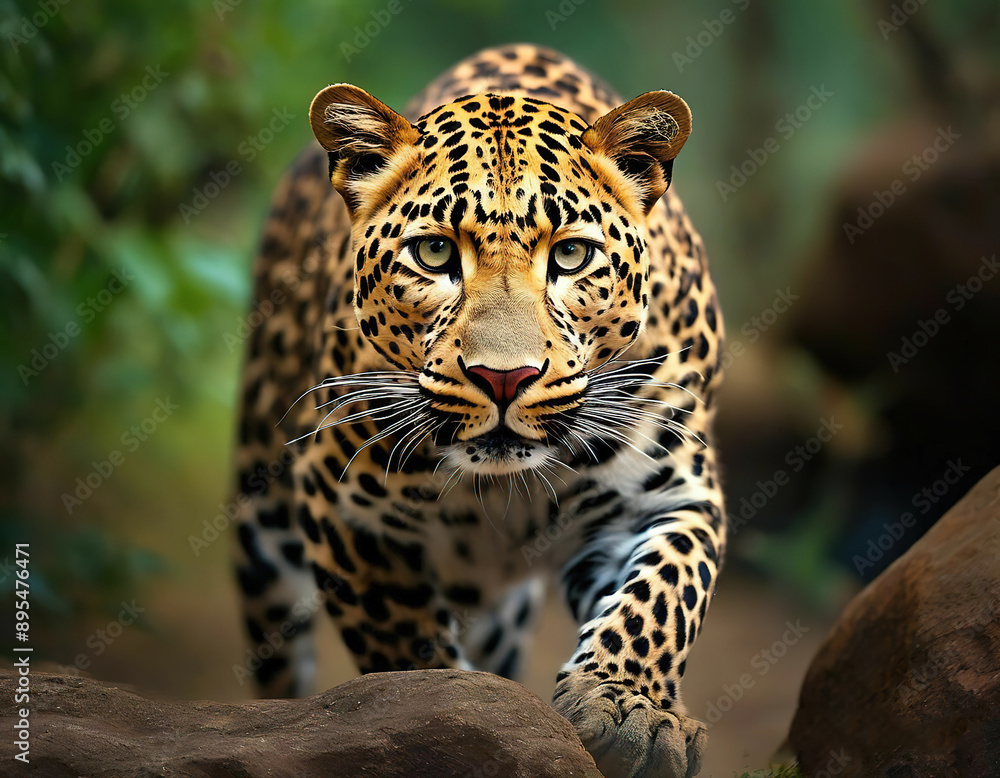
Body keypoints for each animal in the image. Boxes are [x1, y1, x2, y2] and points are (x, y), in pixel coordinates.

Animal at [232, 43, 725, 778]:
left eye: (571, 254)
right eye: (435, 251)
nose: (504, 378)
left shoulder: (671, 493)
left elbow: (666, 594)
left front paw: (629, 709)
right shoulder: (342, 508)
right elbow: (403, 644)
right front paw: (446, 717)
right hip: (261, 529)